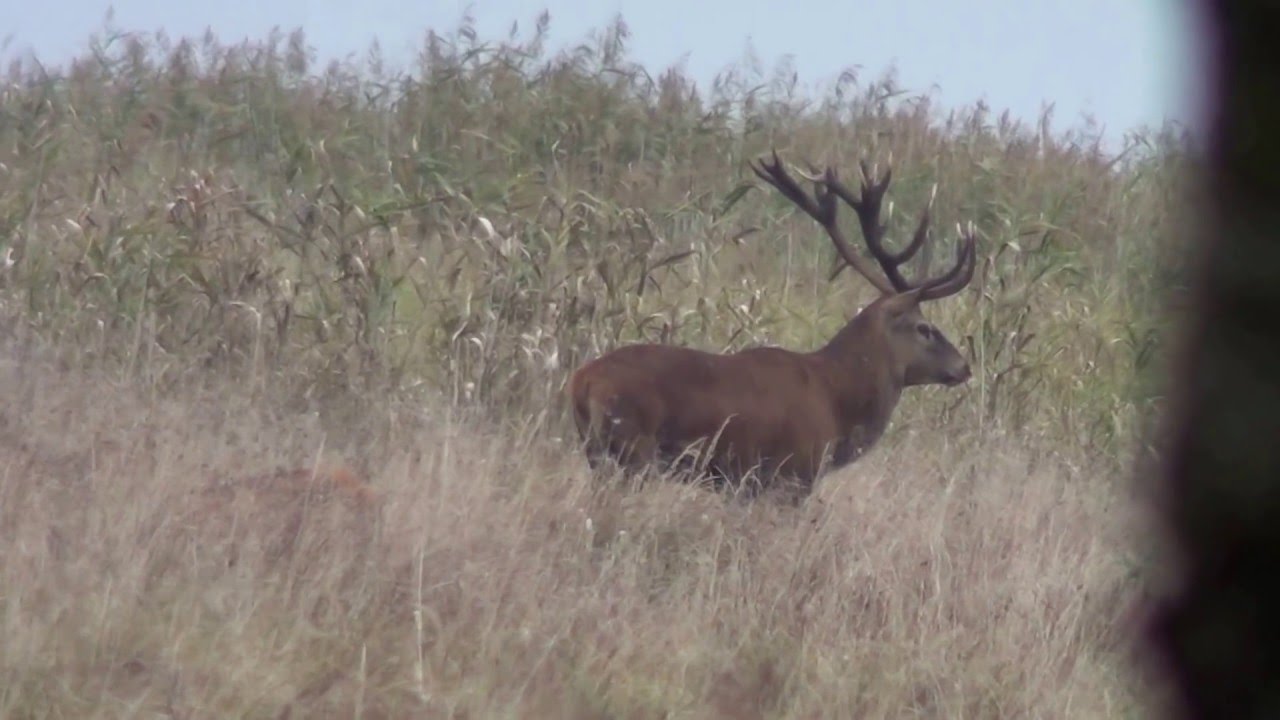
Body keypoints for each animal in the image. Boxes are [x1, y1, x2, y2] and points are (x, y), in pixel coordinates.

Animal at [566, 150, 978, 498]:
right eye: (924, 328)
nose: (964, 366)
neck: (836, 400)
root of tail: (581, 382)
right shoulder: (792, 474)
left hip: (596, 451)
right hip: (633, 448)